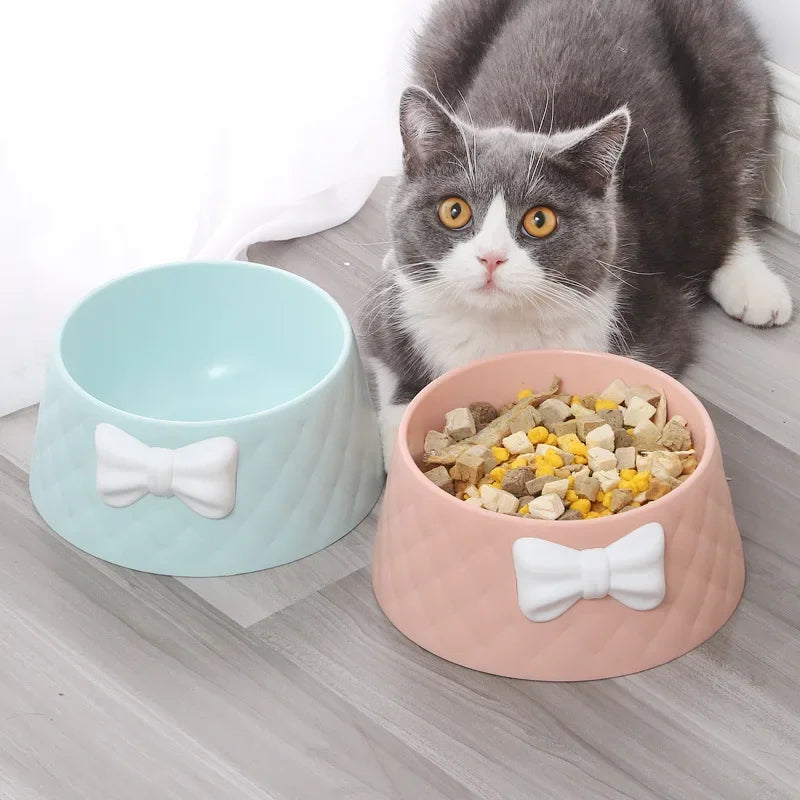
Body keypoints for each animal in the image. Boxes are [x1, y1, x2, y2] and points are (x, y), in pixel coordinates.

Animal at [362, 0, 792, 468]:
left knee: (730, 195)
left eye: (540, 220)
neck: (499, 327)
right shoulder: (387, 321)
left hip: (728, 72)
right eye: (454, 211)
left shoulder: (650, 320)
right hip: (444, 36)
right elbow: (395, 386)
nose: (491, 257)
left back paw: (755, 288)